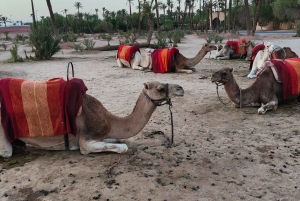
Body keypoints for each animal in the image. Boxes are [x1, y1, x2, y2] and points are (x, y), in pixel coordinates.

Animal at [0, 81, 184, 158]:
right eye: (160, 88)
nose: (181, 88)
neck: (109, 120)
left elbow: (118, 139)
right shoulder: (86, 139)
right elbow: (122, 147)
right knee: (6, 151)